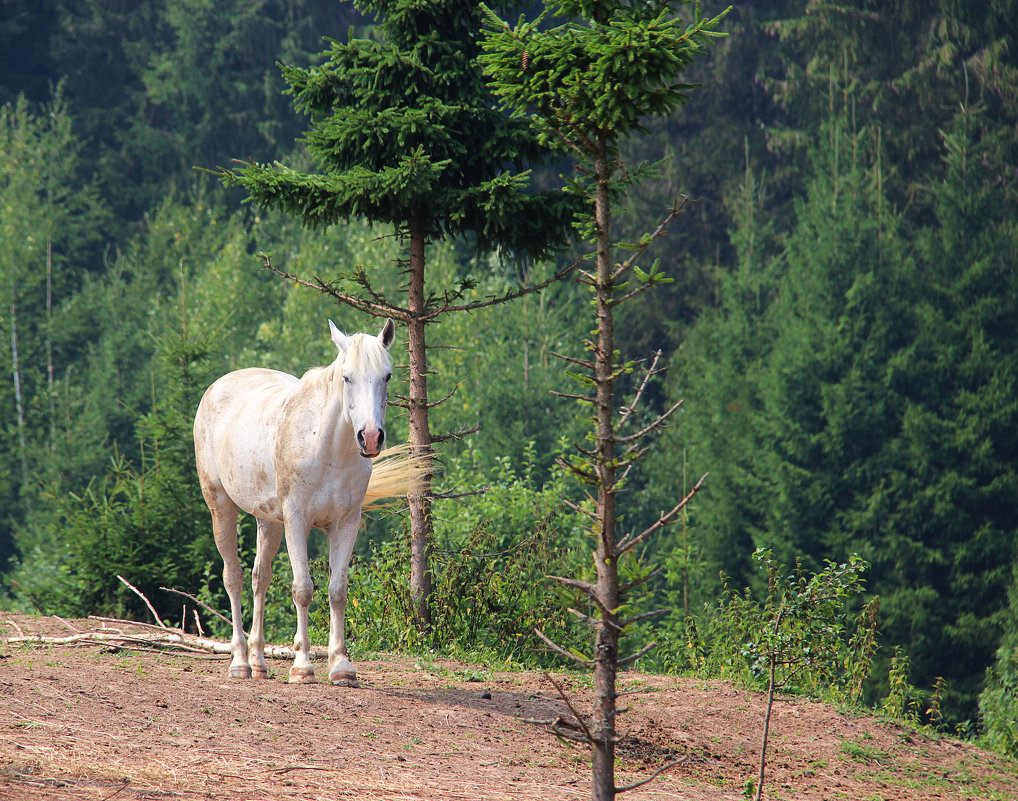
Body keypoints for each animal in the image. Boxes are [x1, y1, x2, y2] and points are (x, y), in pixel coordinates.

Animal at [194, 315, 405, 688]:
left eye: (387, 376)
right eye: (347, 377)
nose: (370, 437)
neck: (326, 447)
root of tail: (218, 387)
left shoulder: (346, 523)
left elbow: (338, 590)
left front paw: (341, 666)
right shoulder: (297, 521)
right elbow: (303, 589)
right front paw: (303, 666)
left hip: (269, 521)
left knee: (259, 578)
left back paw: (259, 661)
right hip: (221, 507)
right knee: (233, 577)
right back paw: (239, 662)